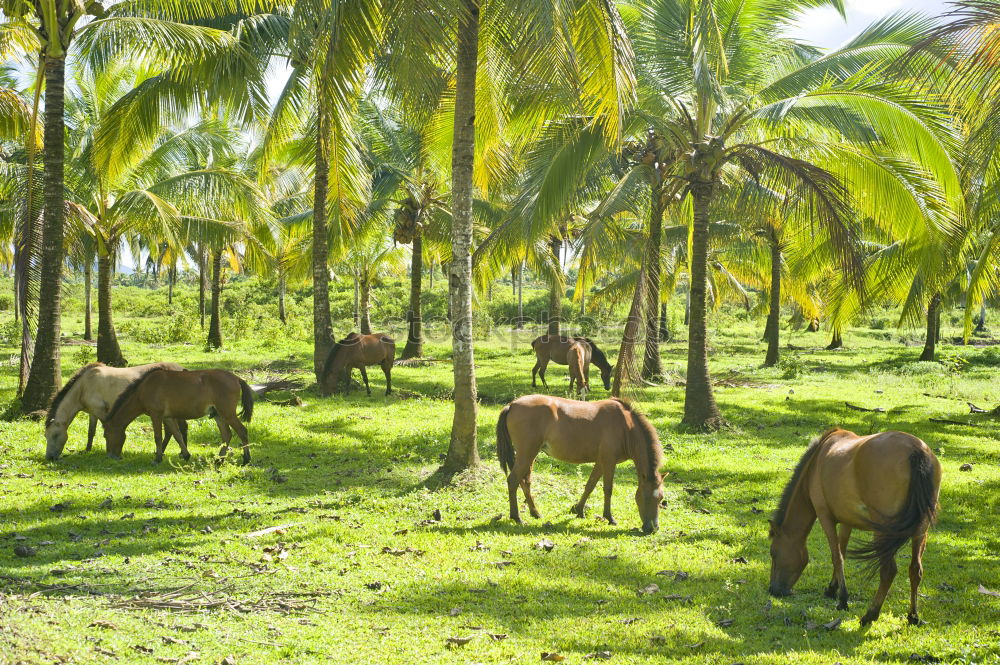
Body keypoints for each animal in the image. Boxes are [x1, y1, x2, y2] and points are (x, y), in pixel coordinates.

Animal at [103, 368, 254, 462]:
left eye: (105, 435)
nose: (110, 455)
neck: (144, 388)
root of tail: (236, 378)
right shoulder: (168, 417)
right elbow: (177, 435)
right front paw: (186, 455)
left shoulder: (156, 415)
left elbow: (158, 437)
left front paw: (158, 458)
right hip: (218, 415)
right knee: (227, 435)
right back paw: (219, 460)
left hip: (227, 414)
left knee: (242, 431)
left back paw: (246, 459)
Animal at [498, 396, 668, 532]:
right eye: (645, 497)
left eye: (660, 499)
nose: (653, 529)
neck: (626, 426)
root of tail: (512, 404)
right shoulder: (609, 461)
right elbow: (608, 489)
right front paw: (609, 518)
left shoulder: (600, 462)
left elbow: (590, 485)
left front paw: (578, 510)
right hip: (527, 453)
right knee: (513, 480)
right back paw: (516, 517)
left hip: (529, 455)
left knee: (525, 481)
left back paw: (535, 513)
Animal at [768, 428, 940, 624]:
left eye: (773, 553)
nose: (773, 590)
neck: (816, 462)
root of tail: (916, 450)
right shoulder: (846, 521)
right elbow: (842, 551)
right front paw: (832, 589)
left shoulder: (825, 517)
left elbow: (837, 557)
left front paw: (843, 600)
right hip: (921, 531)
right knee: (915, 570)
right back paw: (913, 616)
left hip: (883, 531)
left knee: (888, 571)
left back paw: (870, 614)